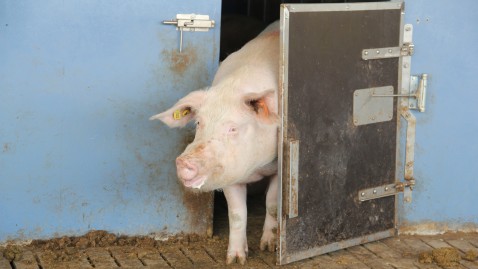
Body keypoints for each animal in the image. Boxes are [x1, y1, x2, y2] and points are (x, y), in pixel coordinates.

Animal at [150, 21, 280, 264]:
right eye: (199, 122)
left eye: (233, 128)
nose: (185, 161)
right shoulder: (228, 175)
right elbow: (237, 215)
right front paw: (236, 259)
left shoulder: (279, 167)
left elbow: (272, 204)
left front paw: (269, 246)